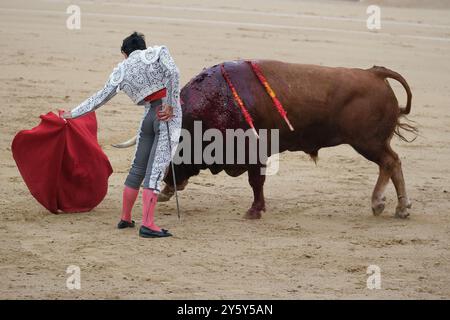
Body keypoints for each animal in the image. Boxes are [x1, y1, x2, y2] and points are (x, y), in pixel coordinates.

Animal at [122, 59, 414, 219]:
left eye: (175, 149)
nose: (165, 186)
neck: (216, 101)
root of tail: (374, 73)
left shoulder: (254, 152)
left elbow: (256, 182)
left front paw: (255, 211)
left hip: (368, 142)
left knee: (390, 162)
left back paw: (383, 204)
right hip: (372, 143)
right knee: (393, 163)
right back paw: (399, 207)